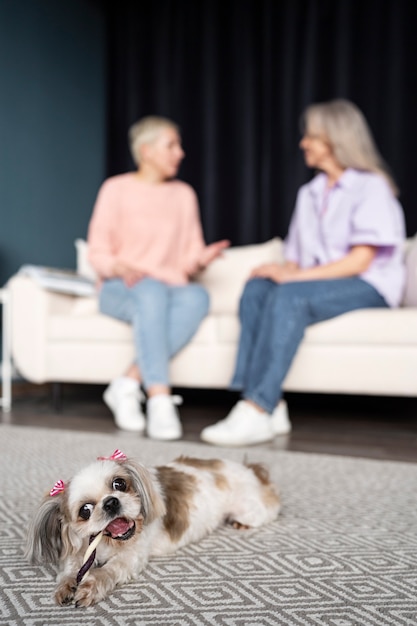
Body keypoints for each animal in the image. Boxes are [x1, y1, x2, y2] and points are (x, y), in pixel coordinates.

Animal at [26, 448, 280, 604]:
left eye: (119, 484)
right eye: (85, 510)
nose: (111, 502)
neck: (108, 543)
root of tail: (250, 469)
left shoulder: (131, 556)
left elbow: (107, 571)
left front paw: (90, 587)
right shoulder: (80, 550)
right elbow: (70, 569)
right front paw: (66, 586)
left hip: (249, 509)